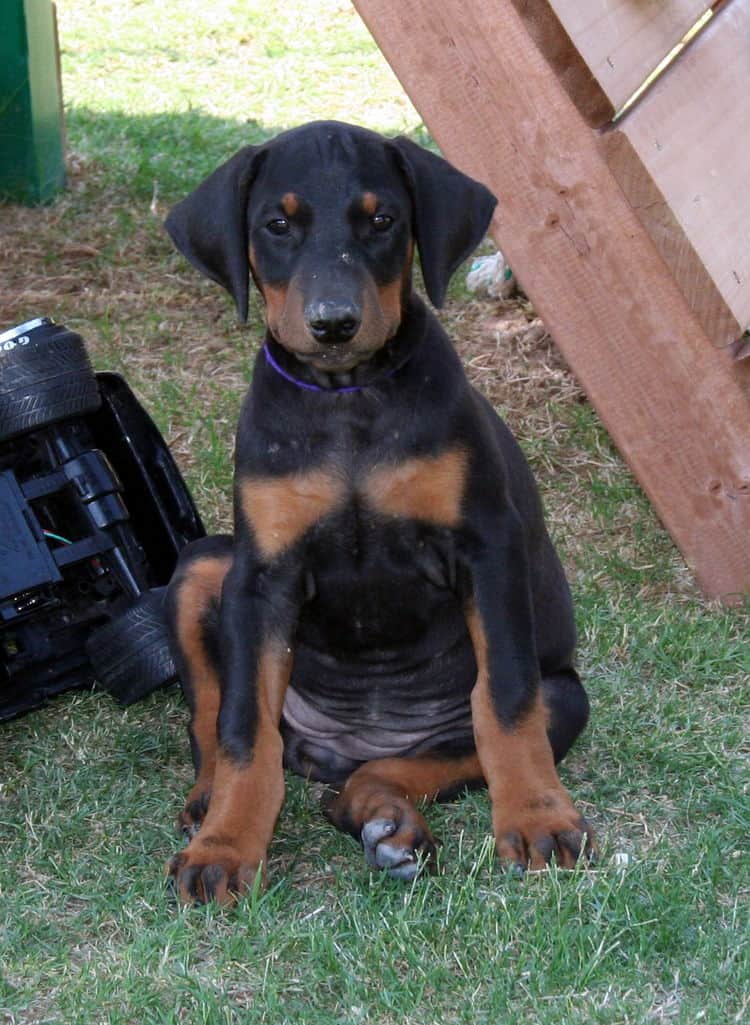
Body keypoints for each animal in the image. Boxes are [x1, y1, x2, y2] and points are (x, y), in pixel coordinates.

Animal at [160, 121, 594, 906]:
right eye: (277, 225)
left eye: (382, 219)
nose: (334, 324)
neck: (348, 398)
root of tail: (348, 746)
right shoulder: (262, 576)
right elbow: (243, 729)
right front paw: (227, 847)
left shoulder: (487, 548)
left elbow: (506, 702)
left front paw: (538, 818)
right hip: (206, 566)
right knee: (211, 719)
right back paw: (216, 804)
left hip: (563, 697)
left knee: (381, 775)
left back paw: (391, 824)